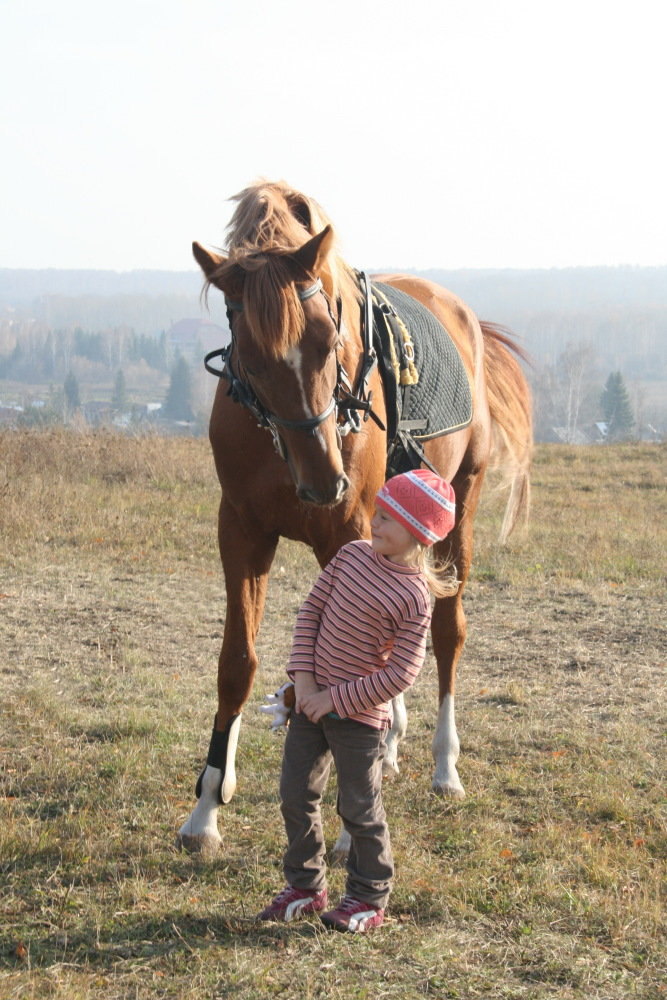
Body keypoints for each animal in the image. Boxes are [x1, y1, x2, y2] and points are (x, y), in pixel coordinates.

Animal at [177, 180, 532, 852]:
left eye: (327, 336)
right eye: (250, 358)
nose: (325, 481)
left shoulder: (344, 533)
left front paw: (349, 827)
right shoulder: (241, 532)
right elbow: (237, 664)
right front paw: (206, 809)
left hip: (460, 504)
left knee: (446, 632)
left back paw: (444, 767)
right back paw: (388, 743)